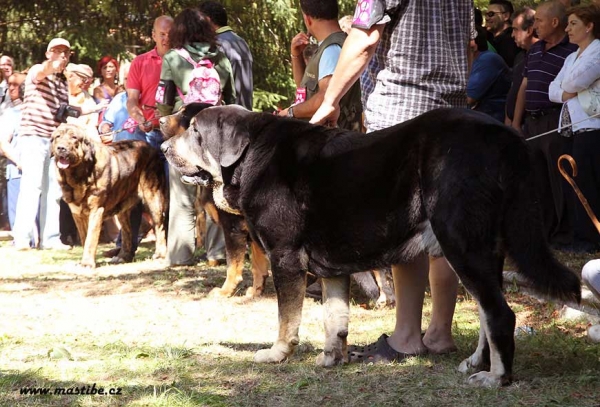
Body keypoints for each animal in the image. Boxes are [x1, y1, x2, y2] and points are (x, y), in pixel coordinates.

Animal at [51, 124, 166, 270]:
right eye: (58, 137)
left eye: (74, 137)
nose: (61, 148)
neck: (77, 176)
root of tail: (152, 148)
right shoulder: (77, 213)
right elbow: (84, 238)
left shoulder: (96, 211)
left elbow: (90, 239)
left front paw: (87, 263)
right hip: (123, 210)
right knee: (128, 233)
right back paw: (123, 257)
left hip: (153, 198)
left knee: (159, 226)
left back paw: (160, 255)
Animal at [161, 107, 580, 388]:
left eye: (194, 130)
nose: (164, 148)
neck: (250, 156)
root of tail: (505, 137)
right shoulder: (331, 270)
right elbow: (335, 319)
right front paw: (332, 358)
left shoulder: (285, 258)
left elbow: (287, 319)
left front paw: (278, 354)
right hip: (479, 251)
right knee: (486, 313)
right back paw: (478, 363)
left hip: (462, 244)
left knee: (500, 314)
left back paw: (496, 378)